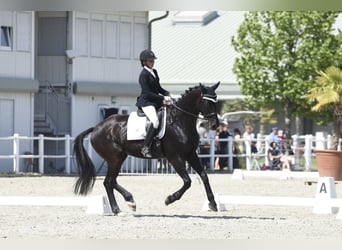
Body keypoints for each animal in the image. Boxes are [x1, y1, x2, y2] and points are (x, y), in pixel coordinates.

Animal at [73, 82, 220, 215]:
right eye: (207, 102)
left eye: (216, 101)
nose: (215, 125)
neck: (179, 122)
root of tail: (96, 128)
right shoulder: (174, 157)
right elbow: (187, 181)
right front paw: (169, 199)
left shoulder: (190, 154)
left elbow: (204, 176)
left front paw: (213, 204)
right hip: (115, 158)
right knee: (109, 182)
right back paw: (122, 206)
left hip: (118, 158)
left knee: (110, 181)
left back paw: (124, 204)